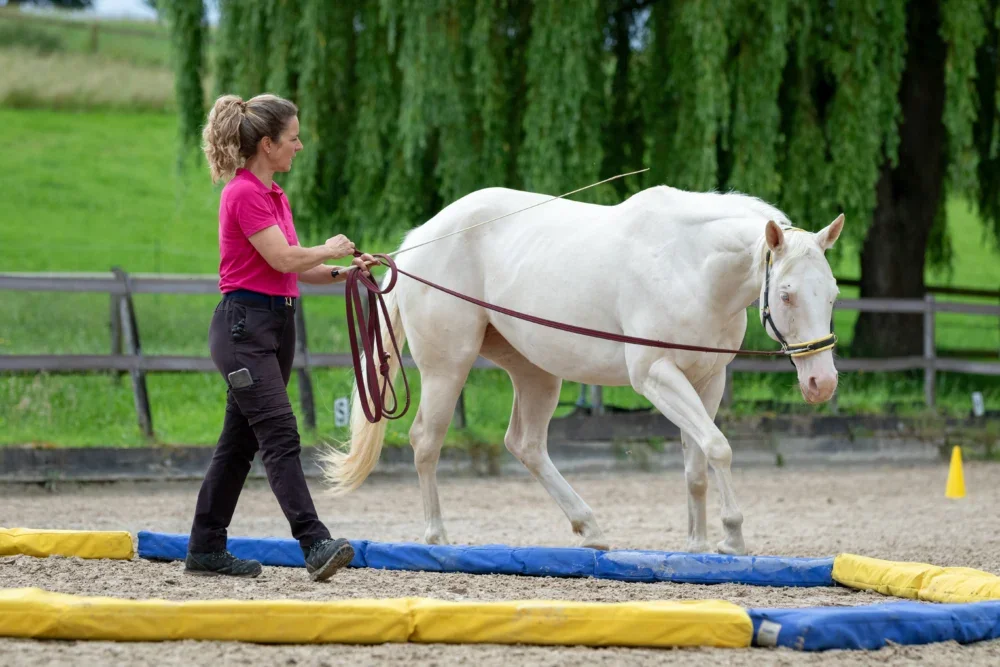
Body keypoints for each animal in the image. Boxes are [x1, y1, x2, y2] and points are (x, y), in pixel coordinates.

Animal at [317, 183, 844, 556]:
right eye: (787, 294)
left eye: (834, 294)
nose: (822, 384)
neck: (690, 266)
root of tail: (417, 242)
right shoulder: (655, 376)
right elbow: (719, 448)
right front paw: (732, 537)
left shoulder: (707, 381)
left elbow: (698, 462)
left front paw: (697, 546)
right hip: (448, 366)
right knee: (427, 441)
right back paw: (438, 538)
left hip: (536, 373)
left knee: (526, 444)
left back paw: (589, 527)